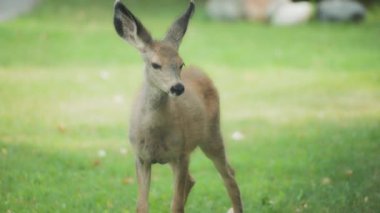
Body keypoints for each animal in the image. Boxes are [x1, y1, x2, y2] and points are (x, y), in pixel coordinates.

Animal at [113, 0, 243, 212]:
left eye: (181, 63)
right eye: (155, 64)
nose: (178, 87)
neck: (154, 133)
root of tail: (200, 71)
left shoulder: (182, 154)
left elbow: (177, 205)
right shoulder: (141, 157)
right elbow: (142, 205)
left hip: (211, 135)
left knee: (228, 173)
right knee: (193, 179)